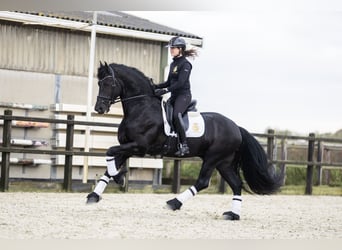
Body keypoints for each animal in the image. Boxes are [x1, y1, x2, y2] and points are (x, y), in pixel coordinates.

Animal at [86, 61, 284, 220]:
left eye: (110, 83)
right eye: (99, 83)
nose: (99, 108)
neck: (141, 108)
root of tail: (236, 127)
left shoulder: (139, 147)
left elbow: (110, 152)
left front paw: (119, 178)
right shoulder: (126, 147)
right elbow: (110, 163)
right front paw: (95, 195)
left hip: (213, 158)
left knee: (203, 182)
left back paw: (174, 202)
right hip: (224, 162)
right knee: (236, 184)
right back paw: (233, 215)